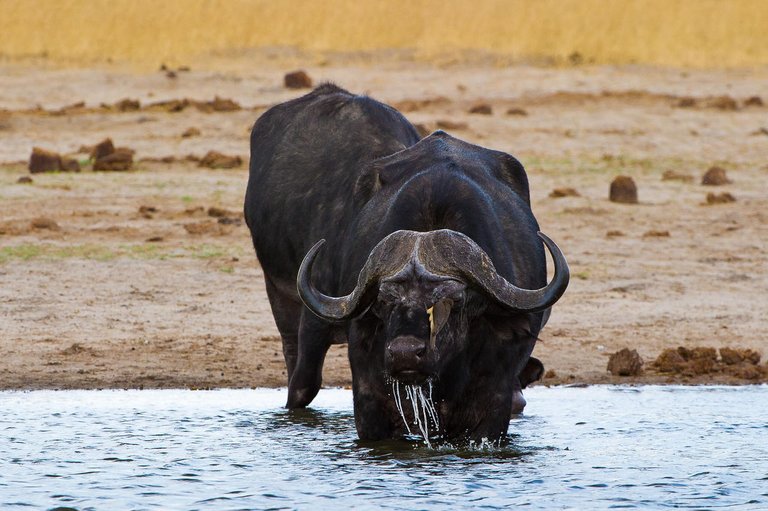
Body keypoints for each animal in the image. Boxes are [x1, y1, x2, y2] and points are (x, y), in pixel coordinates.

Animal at [246, 84, 568, 444]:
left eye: (455, 301)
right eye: (385, 301)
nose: (404, 353)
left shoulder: (491, 402)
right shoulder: (366, 392)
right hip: (282, 298)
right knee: (298, 376)